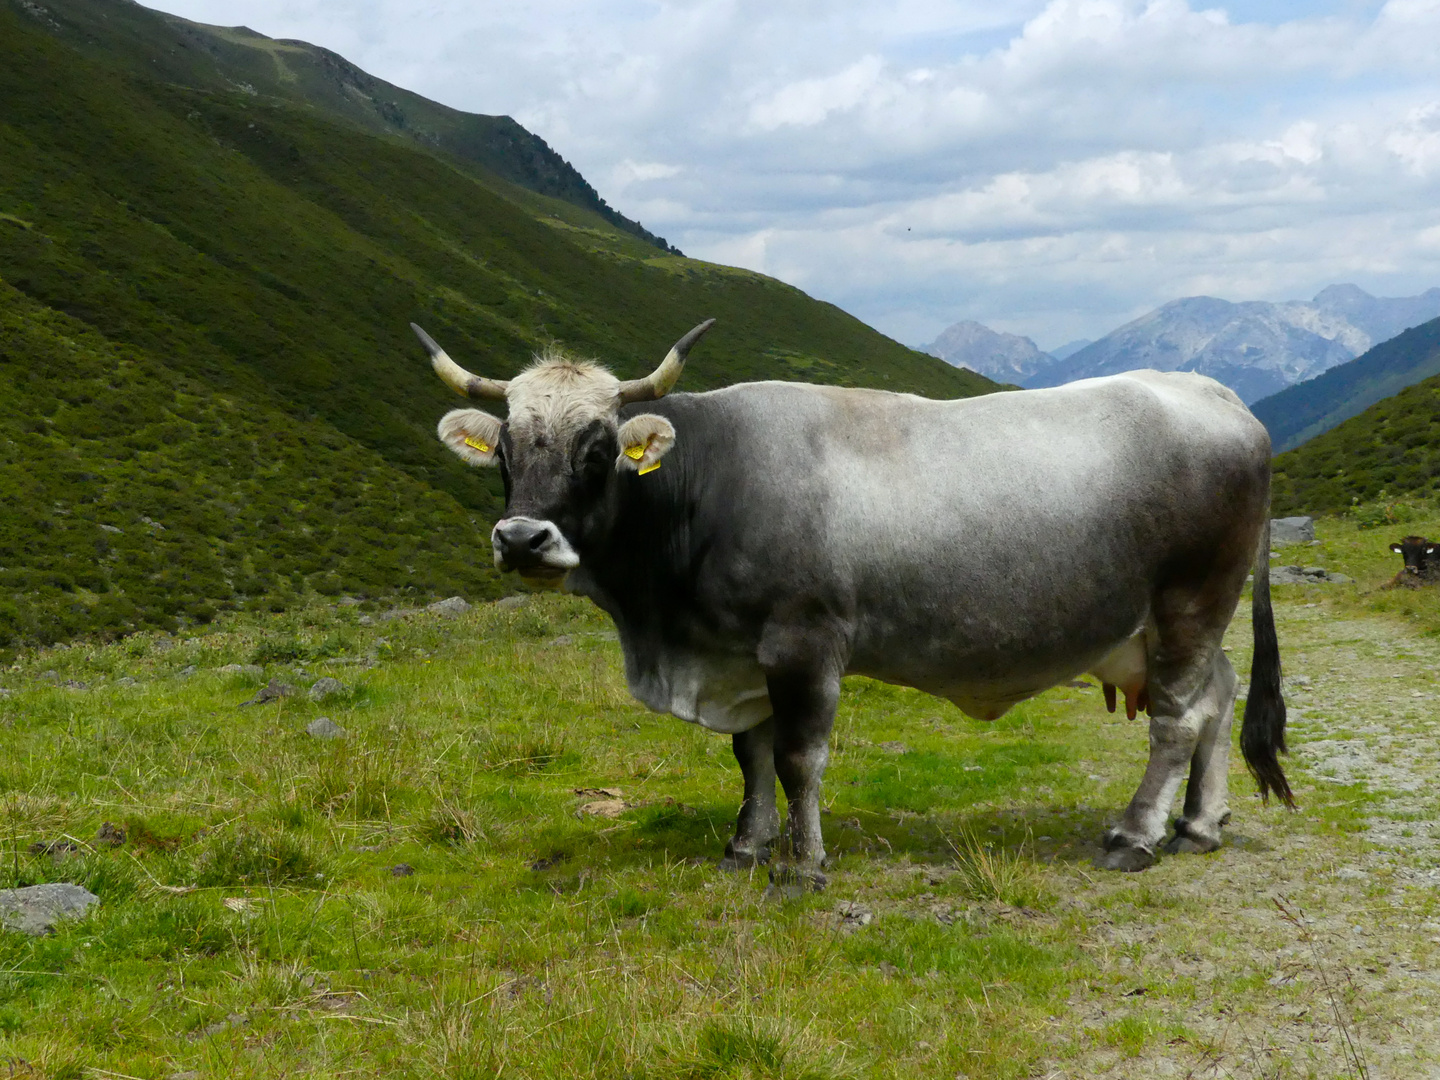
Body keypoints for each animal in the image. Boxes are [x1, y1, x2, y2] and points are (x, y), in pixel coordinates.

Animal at [408, 321, 1296, 887]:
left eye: (597, 449)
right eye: (508, 448)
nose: (523, 538)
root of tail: (1219, 398)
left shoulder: (803, 642)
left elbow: (800, 757)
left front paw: (803, 865)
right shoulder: (744, 655)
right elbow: (752, 754)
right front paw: (746, 847)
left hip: (1189, 601)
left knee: (1178, 720)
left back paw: (1137, 835)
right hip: (1173, 625)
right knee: (1219, 698)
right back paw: (1199, 824)